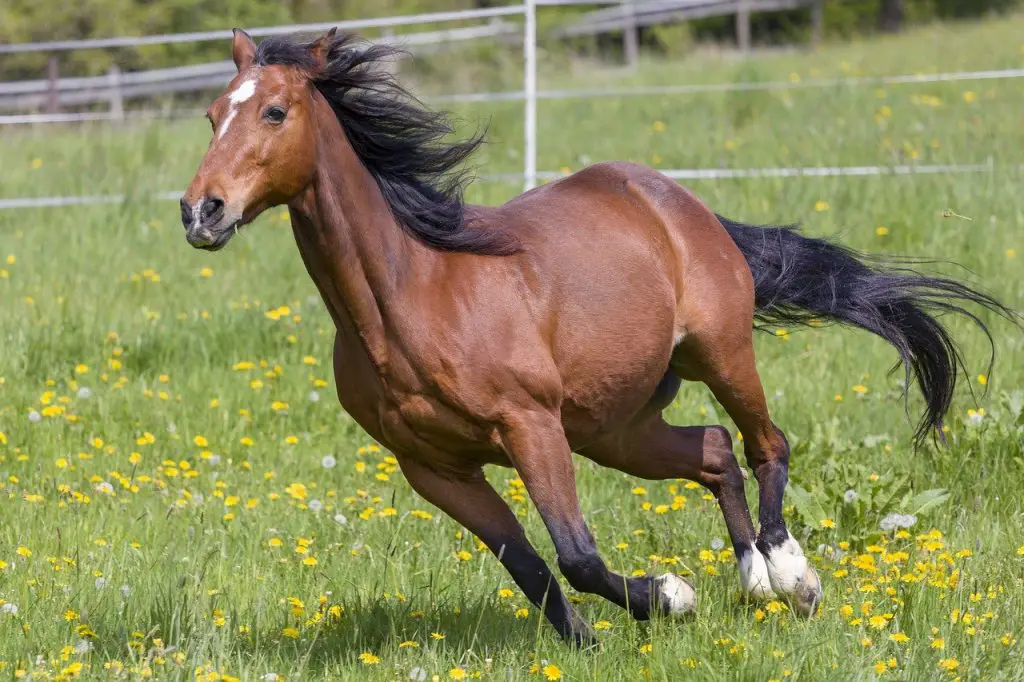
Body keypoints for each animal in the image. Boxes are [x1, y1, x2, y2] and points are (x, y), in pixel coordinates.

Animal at [180, 27, 1011, 643]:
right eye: (214, 114)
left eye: (274, 113)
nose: (201, 211)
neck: (410, 298)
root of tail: (676, 200)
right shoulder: (434, 467)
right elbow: (528, 566)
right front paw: (588, 638)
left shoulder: (530, 427)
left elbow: (575, 554)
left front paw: (671, 595)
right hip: (616, 427)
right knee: (714, 453)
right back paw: (750, 584)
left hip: (716, 355)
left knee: (764, 445)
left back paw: (791, 578)